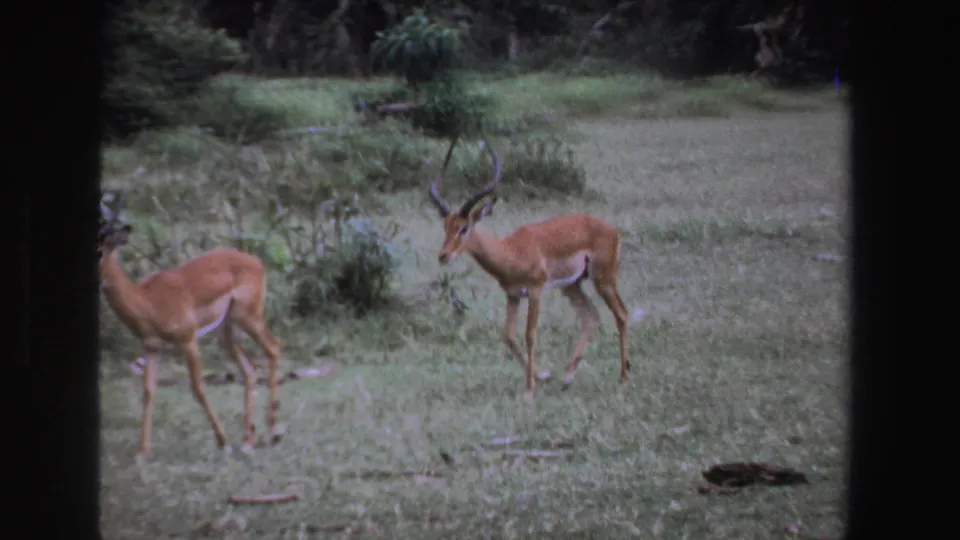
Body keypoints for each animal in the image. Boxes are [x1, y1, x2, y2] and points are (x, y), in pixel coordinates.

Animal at [98, 191, 282, 459]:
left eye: (101, 250)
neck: (147, 300)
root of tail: (256, 261)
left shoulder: (189, 340)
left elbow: (198, 388)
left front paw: (223, 441)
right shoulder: (151, 347)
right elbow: (148, 392)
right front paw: (142, 453)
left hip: (249, 317)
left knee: (273, 348)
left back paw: (273, 433)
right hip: (226, 330)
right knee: (250, 371)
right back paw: (248, 440)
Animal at [427, 135, 631, 400]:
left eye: (464, 228)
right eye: (446, 227)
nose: (444, 255)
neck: (511, 251)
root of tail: (612, 230)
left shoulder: (535, 290)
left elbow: (530, 334)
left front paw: (529, 389)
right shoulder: (513, 295)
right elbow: (508, 335)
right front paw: (542, 376)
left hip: (603, 280)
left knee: (621, 314)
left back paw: (623, 377)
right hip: (572, 285)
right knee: (591, 316)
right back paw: (567, 378)